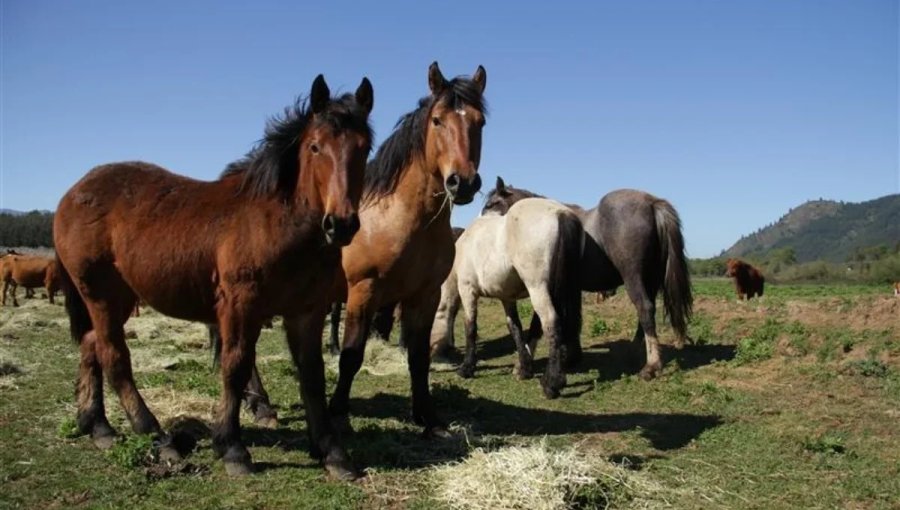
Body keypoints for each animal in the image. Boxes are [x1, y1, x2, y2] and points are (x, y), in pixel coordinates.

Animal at [53, 74, 374, 479]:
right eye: (315, 146)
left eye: (364, 148)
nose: (341, 224)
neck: (276, 223)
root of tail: (72, 194)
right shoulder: (241, 305)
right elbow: (235, 366)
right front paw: (232, 448)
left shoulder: (307, 311)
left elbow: (312, 375)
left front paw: (333, 453)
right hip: (101, 296)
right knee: (114, 358)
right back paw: (156, 437)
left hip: (118, 298)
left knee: (91, 347)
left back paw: (98, 426)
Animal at [430, 199, 583, 398]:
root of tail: (560, 213)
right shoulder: (507, 298)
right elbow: (515, 328)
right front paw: (524, 368)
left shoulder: (467, 290)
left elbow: (470, 327)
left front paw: (466, 368)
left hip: (538, 288)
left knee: (552, 323)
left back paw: (551, 384)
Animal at [476, 177, 693, 380]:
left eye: (492, 203)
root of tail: (651, 203)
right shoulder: (572, 289)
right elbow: (574, 319)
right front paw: (571, 357)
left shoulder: (546, 287)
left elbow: (538, 323)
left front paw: (523, 366)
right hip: (651, 280)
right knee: (647, 313)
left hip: (634, 278)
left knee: (645, 309)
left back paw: (652, 366)